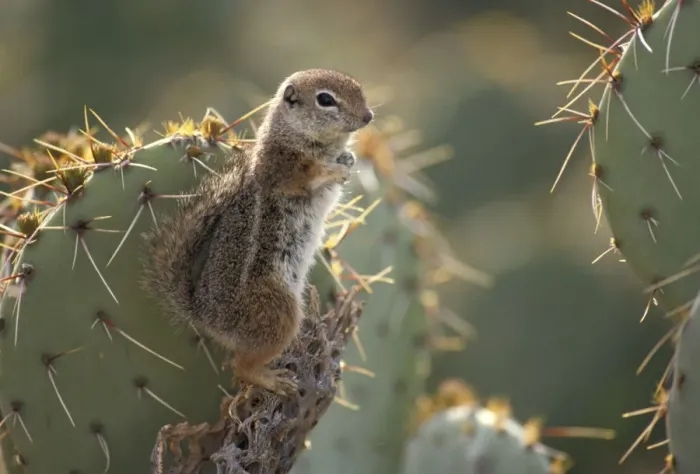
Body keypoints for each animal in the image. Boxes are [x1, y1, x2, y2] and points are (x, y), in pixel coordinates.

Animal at [143, 69, 374, 395]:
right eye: (326, 100)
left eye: (358, 88)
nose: (368, 116)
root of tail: (205, 317)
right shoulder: (281, 167)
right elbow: (308, 175)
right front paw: (333, 169)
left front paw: (348, 159)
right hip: (279, 313)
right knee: (240, 367)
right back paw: (271, 379)